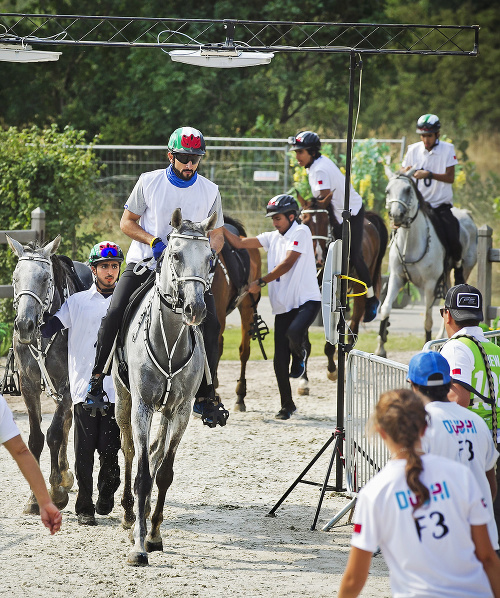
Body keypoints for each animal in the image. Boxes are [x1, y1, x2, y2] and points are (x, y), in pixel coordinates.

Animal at [7, 237, 92, 512]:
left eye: (45, 279)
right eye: (15, 278)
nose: (24, 325)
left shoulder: (68, 385)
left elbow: (54, 434)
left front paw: (56, 491)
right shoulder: (29, 385)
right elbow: (36, 438)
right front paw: (34, 499)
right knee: (66, 422)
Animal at [114, 210, 218, 568]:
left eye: (210, 258)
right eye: (175, 255)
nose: (195, 309)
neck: (170, 339)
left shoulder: (180, 410)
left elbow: (164, 473)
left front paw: (154, 535)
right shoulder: (143, 406)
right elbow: (143, 475)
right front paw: (137, 546)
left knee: (155, 453)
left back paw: (144, 516)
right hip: (123, 402)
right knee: (131, 452)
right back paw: (129, 515)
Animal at [298, 202, 388, 380]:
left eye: (324, 221)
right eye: (305, 221)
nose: (318, 257)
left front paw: (332, 369)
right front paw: (303, 379)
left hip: (361, 284)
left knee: (355, 321)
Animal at [376, 169, 476, 358]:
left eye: (408, 189)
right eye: (387, 190)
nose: (396, 216)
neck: (411, 241)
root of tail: (466, 214)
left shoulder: (430, 285)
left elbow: (427, 320)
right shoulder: (396, 278)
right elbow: (385, 308)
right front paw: (381, 348)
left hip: (464, 269)